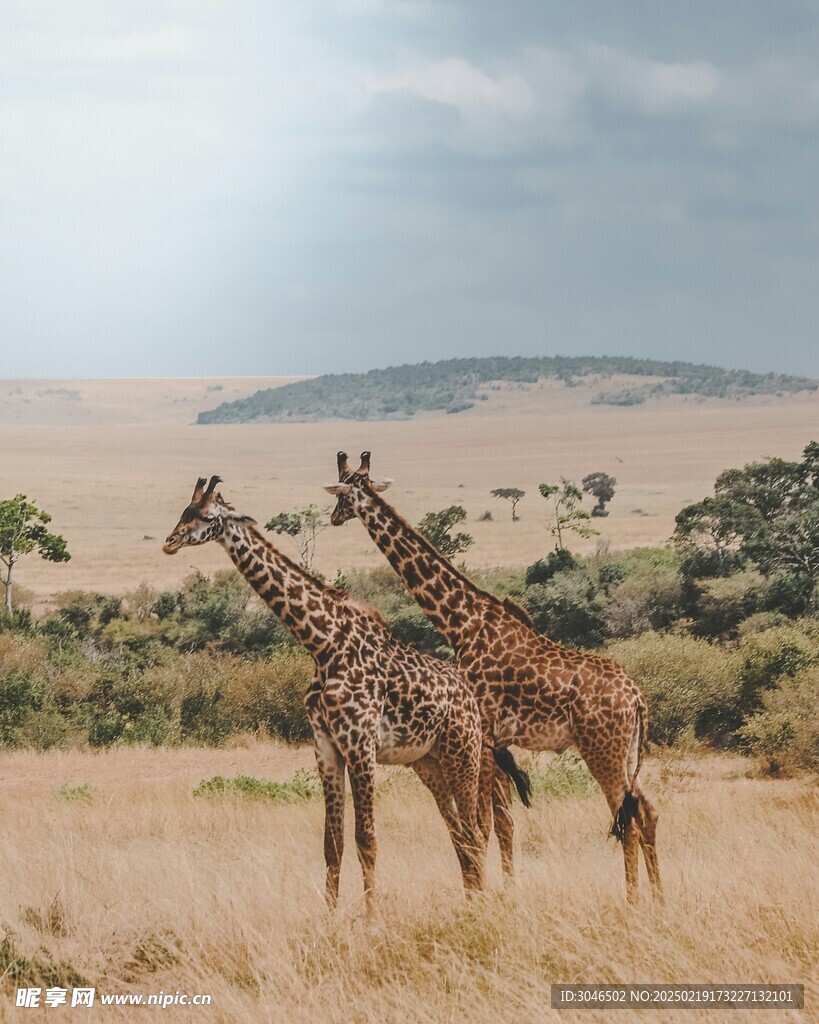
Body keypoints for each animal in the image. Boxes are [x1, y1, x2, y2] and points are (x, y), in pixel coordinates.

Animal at [162, 475, 522, 909]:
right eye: (185, 509)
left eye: (205, 515)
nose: (169, 542)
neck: (323, 643)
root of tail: (472, 702)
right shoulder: (326, 748)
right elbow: (331, 844)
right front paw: (330, 916)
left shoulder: (361, 745)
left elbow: (367, 839)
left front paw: (370, 916)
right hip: (429, 761)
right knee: (462, 833)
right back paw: (471, 903)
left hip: (463, 754)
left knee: (476, 830)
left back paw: (479, 906)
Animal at [323, 452, 663, 901]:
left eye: (343, 493)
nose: (333, 518)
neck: (461, 621)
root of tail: (637, 699)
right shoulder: (497, 741)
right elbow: (503, 822)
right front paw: (506, 891)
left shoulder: (481, 733)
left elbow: (483, 826)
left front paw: (486, 895)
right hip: (626, 753)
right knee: (647, 811)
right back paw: (659, 899)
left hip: (602, 750)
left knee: (625, 821)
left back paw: (632, 901)